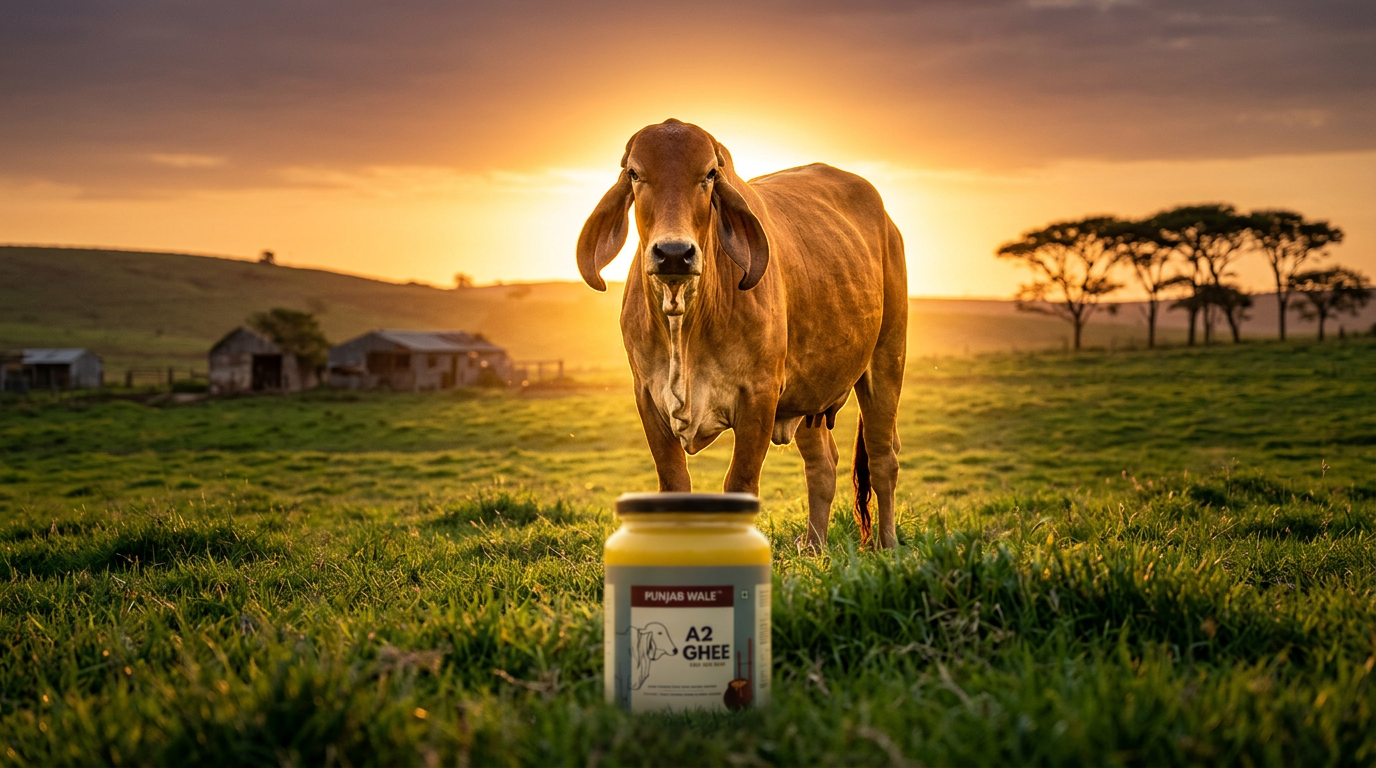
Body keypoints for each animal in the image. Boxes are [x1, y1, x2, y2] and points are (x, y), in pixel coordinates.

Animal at [577, 119, 907, 549]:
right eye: (634, 173)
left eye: (709, 174)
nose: (673, 253)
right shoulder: (648, 398)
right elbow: (674, 484)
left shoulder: (759, 397)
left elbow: (740, 484)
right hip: (809, 396)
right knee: (822, 465)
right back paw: (814, 548)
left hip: (886, 360)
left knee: (884, 458)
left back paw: (888, 545)